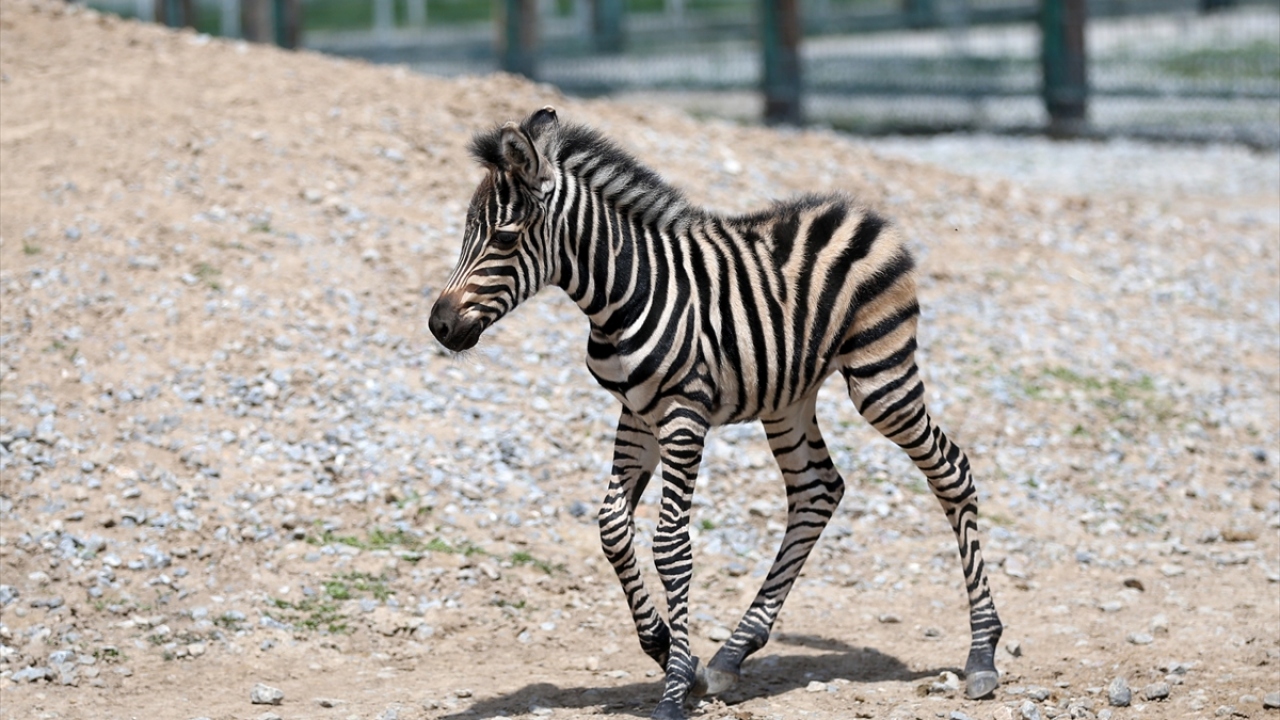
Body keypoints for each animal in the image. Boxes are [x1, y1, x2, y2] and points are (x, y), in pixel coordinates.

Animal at [428, 107, 1002, 720]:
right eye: (467, 233)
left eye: (504, 238)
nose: (439, 325)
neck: (621, 294)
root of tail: (860, 211)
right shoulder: (636, 413)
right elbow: (612, 528)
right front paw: (667, 650)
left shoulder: (684, 414)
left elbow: (671, 547)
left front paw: (675, 688)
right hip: (787, 396)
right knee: (817, 491)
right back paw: (732, 654)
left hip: (881, 375)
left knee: (950, 471)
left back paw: (982, 655)